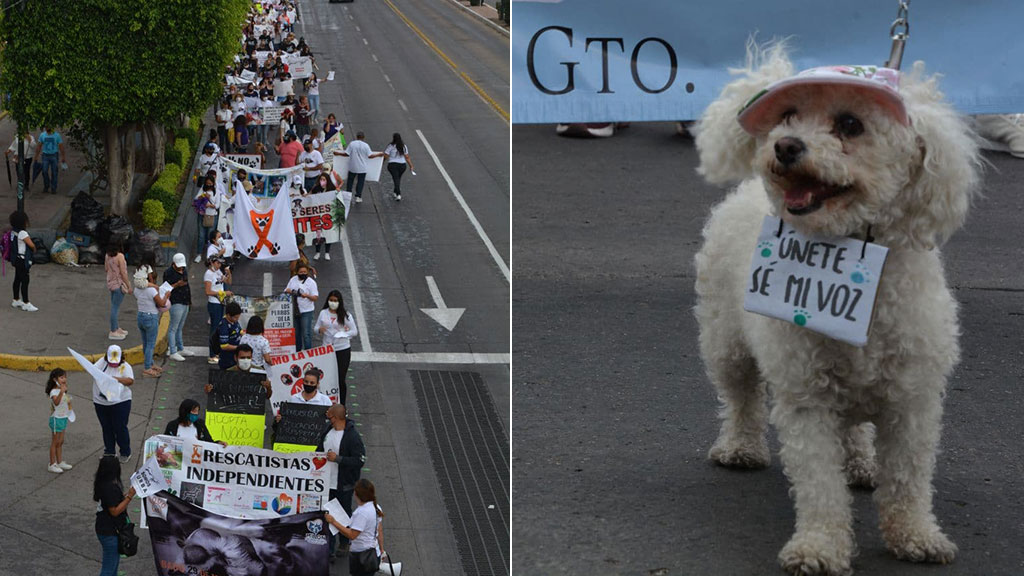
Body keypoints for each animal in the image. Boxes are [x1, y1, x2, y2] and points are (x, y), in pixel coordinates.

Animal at [692, 44, 978, 573]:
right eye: (788, 114)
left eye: (850, 124)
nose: (785, 146)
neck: (850, 247)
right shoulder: (808, 397)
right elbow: (820, 485)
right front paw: (819, 547)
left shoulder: (913, 400)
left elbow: (908, 479)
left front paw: (916, 535)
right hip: (725, 341)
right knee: (740, 397)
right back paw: (741, 447)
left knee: (857, 426)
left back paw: (862, 461)